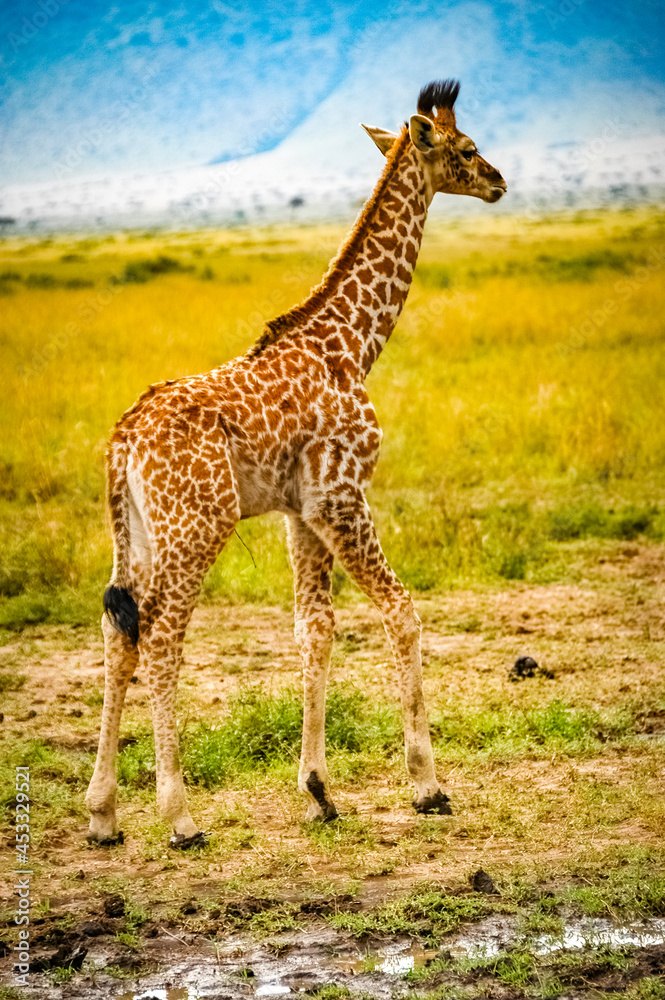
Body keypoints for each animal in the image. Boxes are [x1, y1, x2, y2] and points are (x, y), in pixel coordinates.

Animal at [87, 76, 504, 844]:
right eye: (464, 148)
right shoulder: (343, 494)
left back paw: (103, 814)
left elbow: (315, 631)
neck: (353, 345)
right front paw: (427, 785)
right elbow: (401, 610)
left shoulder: (300, 511)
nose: (498, 181)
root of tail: (122, 441)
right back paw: (179, 815)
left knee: (118, 631)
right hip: (197, 527)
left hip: (136, 534)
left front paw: (317, 790)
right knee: (160, 638)